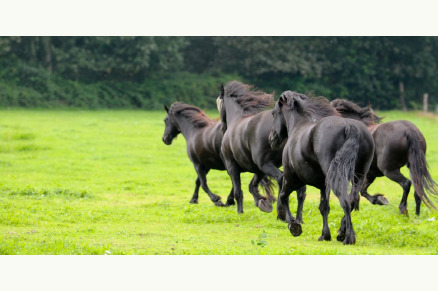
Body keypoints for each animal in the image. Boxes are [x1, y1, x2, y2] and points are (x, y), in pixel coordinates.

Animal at [217, 81, 306, 216]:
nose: (222, 128)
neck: (236, 119)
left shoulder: (232, 167)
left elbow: (238, 192)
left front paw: (240, 212)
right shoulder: (258, 170)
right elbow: (252, 186)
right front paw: (263, 203)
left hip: (266, 165)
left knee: (281, 180)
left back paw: (282, 213)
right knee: (300, 190)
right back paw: (296, 216)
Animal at [268, 90, 374, 244]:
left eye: (274, 113)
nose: (271, 139)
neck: (299, 126)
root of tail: (349, 126)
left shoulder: (291, 178)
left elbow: (283, 196)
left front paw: (294, 226)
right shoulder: (323, 185)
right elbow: (324, 207)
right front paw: (325, 235)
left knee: (345, 201)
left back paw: (348, 237)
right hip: (359, 176)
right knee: (353, 200)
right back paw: (342, 233)